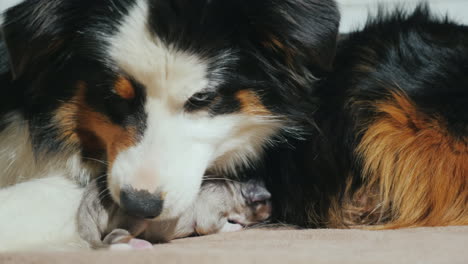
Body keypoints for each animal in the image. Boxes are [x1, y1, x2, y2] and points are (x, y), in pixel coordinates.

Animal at [78, 178, 272, 249]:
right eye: (264, 203)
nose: (272, 212)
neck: (234, 190)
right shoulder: (210, 213)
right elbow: (217, 225)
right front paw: (236, 226)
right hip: (138, 220)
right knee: (111, 238)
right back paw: (139, 243)